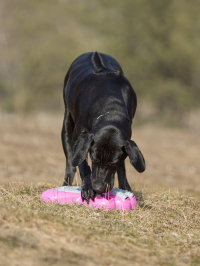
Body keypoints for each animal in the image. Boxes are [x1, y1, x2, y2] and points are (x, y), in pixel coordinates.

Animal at [61, 51, 145, 202]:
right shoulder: (80, 138)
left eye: (113, 164)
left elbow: (122, 167)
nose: (98, 188)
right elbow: (82, 163)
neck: (110, 109)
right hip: (66, 123)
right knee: (71, 161)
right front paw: (87, 188)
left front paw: (125, 188)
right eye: (94, 159)